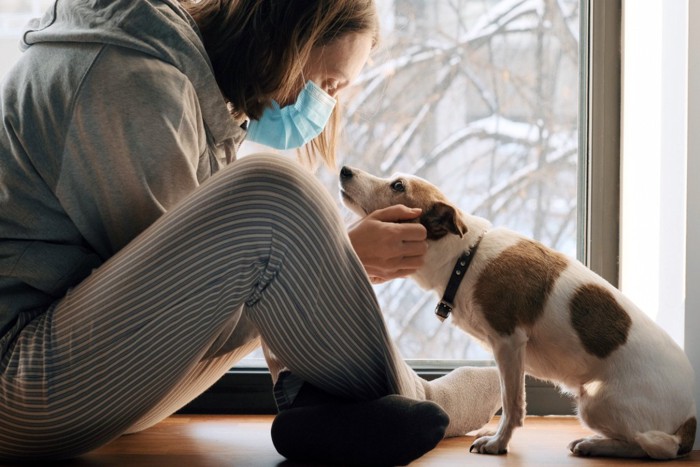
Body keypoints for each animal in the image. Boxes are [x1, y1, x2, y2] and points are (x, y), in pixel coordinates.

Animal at [338, 165, 696, 460]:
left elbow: (512, 405)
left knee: (657, 447)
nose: (344, 170)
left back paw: (597, 445)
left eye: (397, 185)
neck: (465, 258)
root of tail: (691, 414)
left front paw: (498, 443)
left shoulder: (508, 343)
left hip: (595, 403)